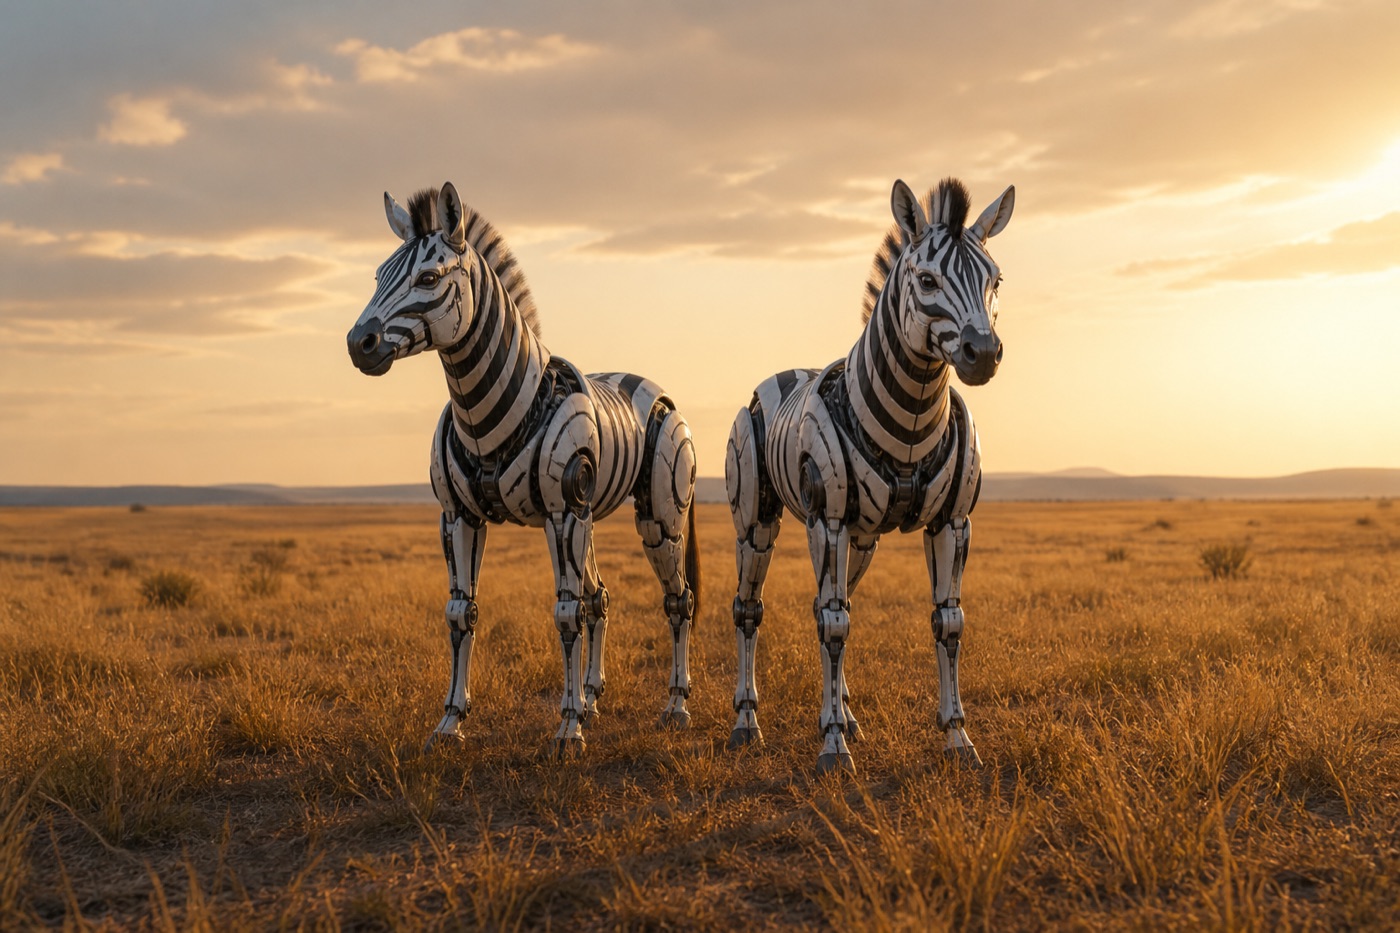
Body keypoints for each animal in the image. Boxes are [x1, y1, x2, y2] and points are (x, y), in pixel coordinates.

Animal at [347, 182, 700, 757]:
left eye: (429, 278)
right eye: (378, 276)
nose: (360, 344)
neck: (487, 418)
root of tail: (650, 386)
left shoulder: (562, 514)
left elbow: (565, 613)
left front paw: (568, 728)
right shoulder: (459, 516)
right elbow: (461, 611)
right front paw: (450, 722)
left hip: (658, 517)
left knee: (677, 599)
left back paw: (674, 706)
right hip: (591, 516)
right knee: (599, 597)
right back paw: (594, 697)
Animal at [724, 177, 1014, 774]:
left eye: (995, 280)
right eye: (926, 280)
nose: (983, 355)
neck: (909, 429)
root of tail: (783, 373)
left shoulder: (953, 522)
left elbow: (948, 620)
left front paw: (957, 738)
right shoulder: (828, 521)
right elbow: (833, 625)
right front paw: (832, 747)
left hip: (861, 541)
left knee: (832, 605)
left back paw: (846, 712)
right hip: (758, 522)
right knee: (750, 609)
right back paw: (747, 722)